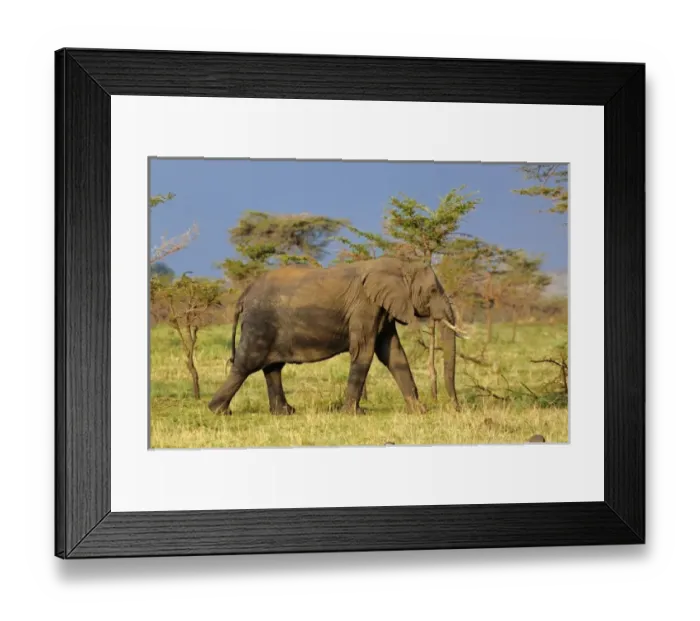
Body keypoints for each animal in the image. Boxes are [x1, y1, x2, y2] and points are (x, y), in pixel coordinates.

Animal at [207, 256, 469, 416]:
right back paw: (218, 411)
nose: (456, 407)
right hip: (260, 323)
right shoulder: (365, 306)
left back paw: (285, 412)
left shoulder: (381, 309)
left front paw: (418, 411)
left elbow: (393, 354)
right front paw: (354, 414)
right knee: (247, 364)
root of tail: (245, 293)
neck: (398, 265)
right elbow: (364, 352)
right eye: (432, 291)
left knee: (272, 368)